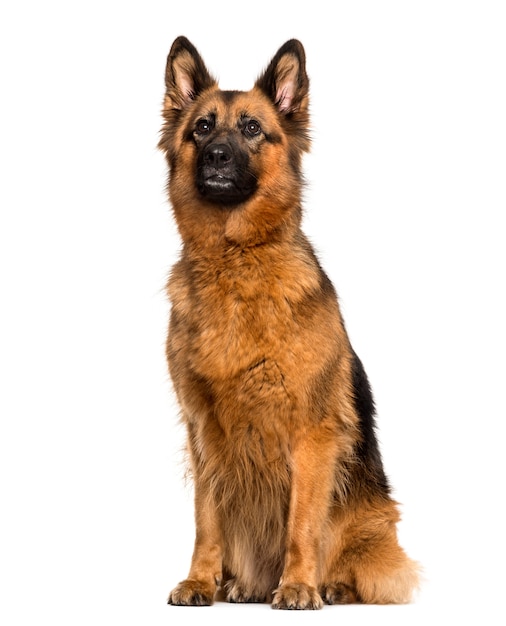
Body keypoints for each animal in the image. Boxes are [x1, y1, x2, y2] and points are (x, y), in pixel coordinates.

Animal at [159, 36, 420, 608]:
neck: (235, 261)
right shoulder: (203, 432)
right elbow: (206, 521)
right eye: (201, 127)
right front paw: (199, 580)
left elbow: (302, 520)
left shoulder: (311, 434)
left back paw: (331, 585)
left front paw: (299, 585)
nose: (216, 157)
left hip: (368, 522)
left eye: (253, 128)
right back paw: (238, 584)